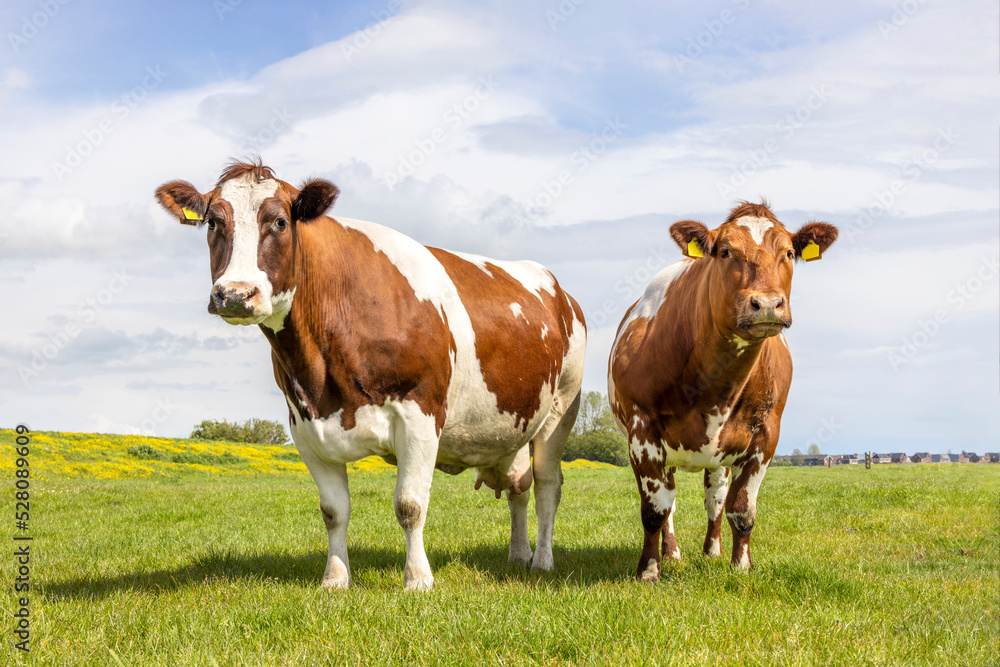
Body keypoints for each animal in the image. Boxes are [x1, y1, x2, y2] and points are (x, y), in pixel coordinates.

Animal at [156, 162, 584, 588]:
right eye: (213, 222)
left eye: (279, 222)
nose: (234, 295)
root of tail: (561, 293)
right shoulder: (305, 427)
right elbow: (333, 511)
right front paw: (335, 579)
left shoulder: (420, 413)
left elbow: (410, 505)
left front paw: (417, 579)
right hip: (511, 428)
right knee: (519, 489)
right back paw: (518, 554)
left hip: (560, 410)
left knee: (547, 487)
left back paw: (542, 561)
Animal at [608, 201, 836, 580]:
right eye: (726, 251)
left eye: (789, 252)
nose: (767, 304)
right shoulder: (642, 433)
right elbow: (655, 510)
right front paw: (649, 571)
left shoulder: (765, 436)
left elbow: (741, 508)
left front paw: (740, 566)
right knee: (669, 503)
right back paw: (672, 553)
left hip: (721, 456)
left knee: (715, 498)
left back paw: (712, 552)